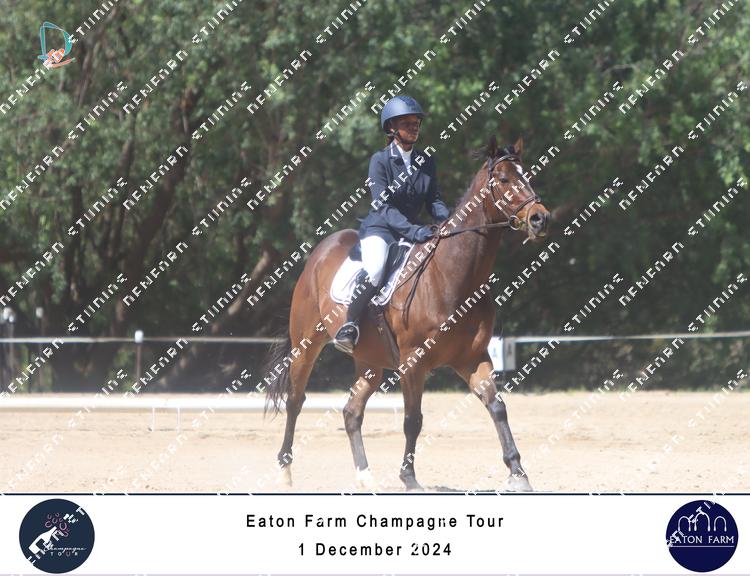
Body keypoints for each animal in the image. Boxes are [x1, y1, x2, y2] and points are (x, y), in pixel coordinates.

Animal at [261, 135, 550, 491]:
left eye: (528, 176)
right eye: (504, 179)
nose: (540, 218)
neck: (454, 277)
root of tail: (321, 250)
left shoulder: (473, 357)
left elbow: (497, 407)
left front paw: (518, 473)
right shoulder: (413, 362)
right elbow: (413, 419)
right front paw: (409, 477)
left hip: (369, 362)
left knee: (352, 411)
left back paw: (365, 477)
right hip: (306, 345)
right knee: (295, 401)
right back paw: (285, 472)